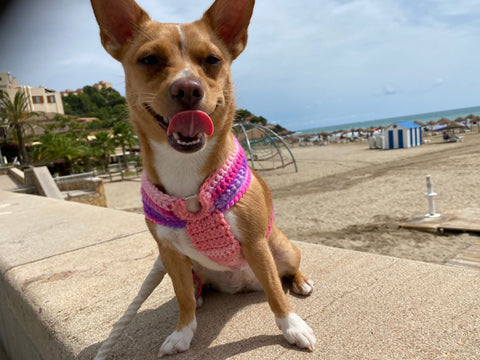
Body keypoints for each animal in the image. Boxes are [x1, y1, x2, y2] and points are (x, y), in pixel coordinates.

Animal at [92, 0, 316, 354]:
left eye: (212, 60)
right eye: (150, 59)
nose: (187, 87)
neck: (186, 170)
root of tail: (242, 286)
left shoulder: (255, 244)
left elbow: (276, 295)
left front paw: (293, 327)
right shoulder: (169, 253)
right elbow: (182, 297)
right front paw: (183, 331)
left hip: (281, 248)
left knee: (283, 274)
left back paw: (300, 281)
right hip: (192, 264)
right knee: (195, 288)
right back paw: (199, 296)